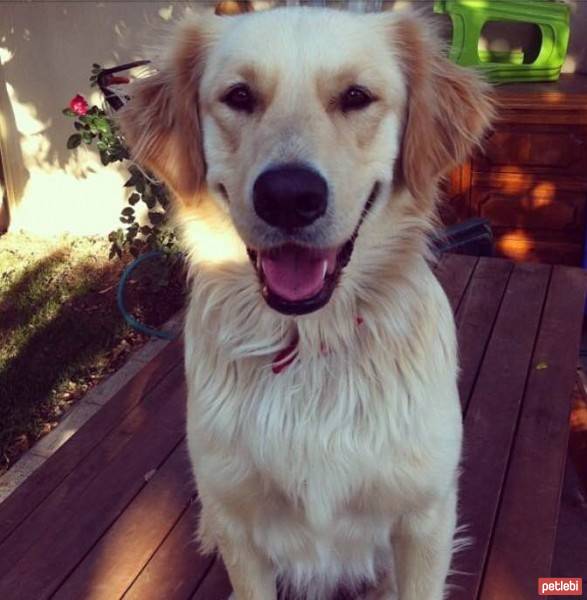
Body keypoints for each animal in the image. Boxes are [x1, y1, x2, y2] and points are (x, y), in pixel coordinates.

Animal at [121, 5, 494, 600]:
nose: (288, 197)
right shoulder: (238, 525)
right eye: (240, 96)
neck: (310, 338)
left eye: (356, 96)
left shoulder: (424, 519)